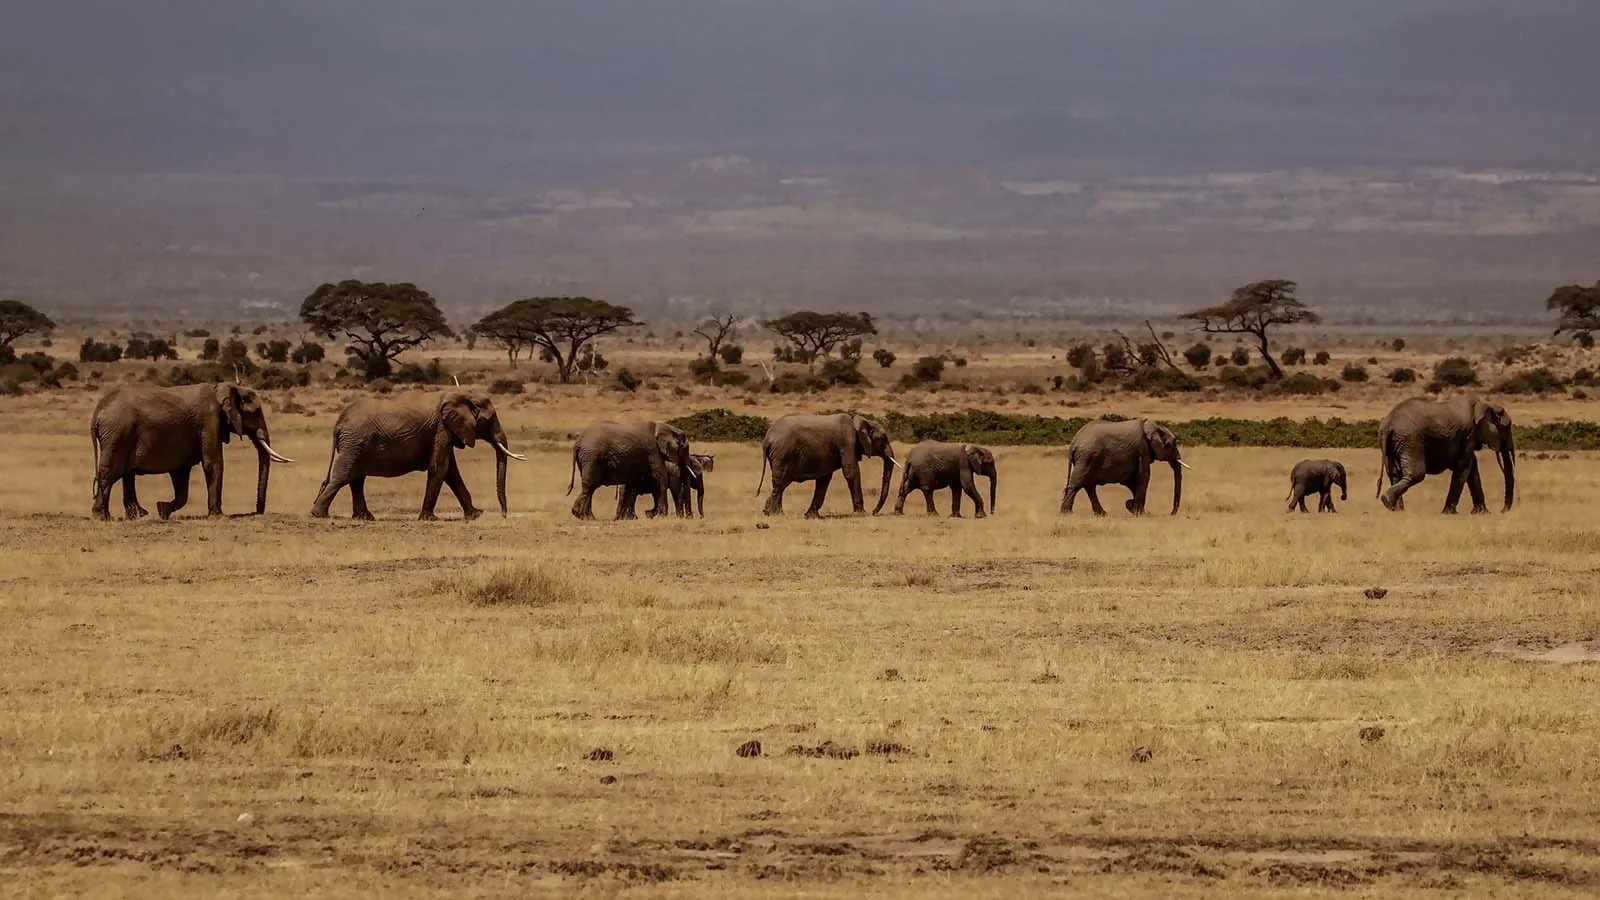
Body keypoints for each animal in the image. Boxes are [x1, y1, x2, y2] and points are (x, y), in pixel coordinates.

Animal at [90, 382, 294, 520]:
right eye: (257, 412)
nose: (257, 511)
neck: (224, 388)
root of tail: (97, 412)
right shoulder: (209, 422)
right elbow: (213, 463)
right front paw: (219, 516)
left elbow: (181, 475)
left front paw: (162, 509)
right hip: (117, 435)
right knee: (110, 473)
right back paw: (104, 517)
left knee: (126, 474)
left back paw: (138, 515)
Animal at [310, 392, 525, 521]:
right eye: (492, 418)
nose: (504, 515)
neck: (462, 396)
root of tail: (338, 422)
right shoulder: (441, 430)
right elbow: (440, 468)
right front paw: (429, 519)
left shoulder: (446, 432)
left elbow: (451, 472)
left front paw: (475, 515)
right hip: (354, 441)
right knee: (344, 476)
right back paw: (319, 515)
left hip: (355, 443)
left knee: (356, 478)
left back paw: (364, 518)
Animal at [756, 413, 897, 518]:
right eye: (883, 438)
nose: (874, 511)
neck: (860, 421)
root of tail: (767, 438)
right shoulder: (847, 442)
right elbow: (851, 472)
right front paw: (862, 514)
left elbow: (824, 479)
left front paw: (811, 516)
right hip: (783, 454)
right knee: (780, 483)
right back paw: (777, 514)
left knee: (780, 484)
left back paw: (767, 512)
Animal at [1060, 418, 1188, 516]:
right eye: (1172, 444)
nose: (1172, 513)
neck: (1152, 426)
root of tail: (1074, 442)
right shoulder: (1142, 450)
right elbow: (1143, 477)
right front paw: (1139, 513)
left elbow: (1132, 481)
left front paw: (1132, 507)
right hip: (1087, 457)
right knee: (1078, 484)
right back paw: (1067, 513)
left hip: (1086, 458)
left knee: (1088, 485)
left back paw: (1101, 514)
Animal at [1377, 396, 1514, 514]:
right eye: (1507, 428)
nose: (1502, 511)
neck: (1486, 404)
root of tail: (1388, 424)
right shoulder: (1469, 434)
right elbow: (1464, 468)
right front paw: (1449, 513)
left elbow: (1472, 468)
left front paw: (1482, 513)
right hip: (1410, 440)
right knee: (1416, 474)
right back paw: (1388, 502)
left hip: (1395, 443)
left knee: (1394, 474)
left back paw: (1394, 508)